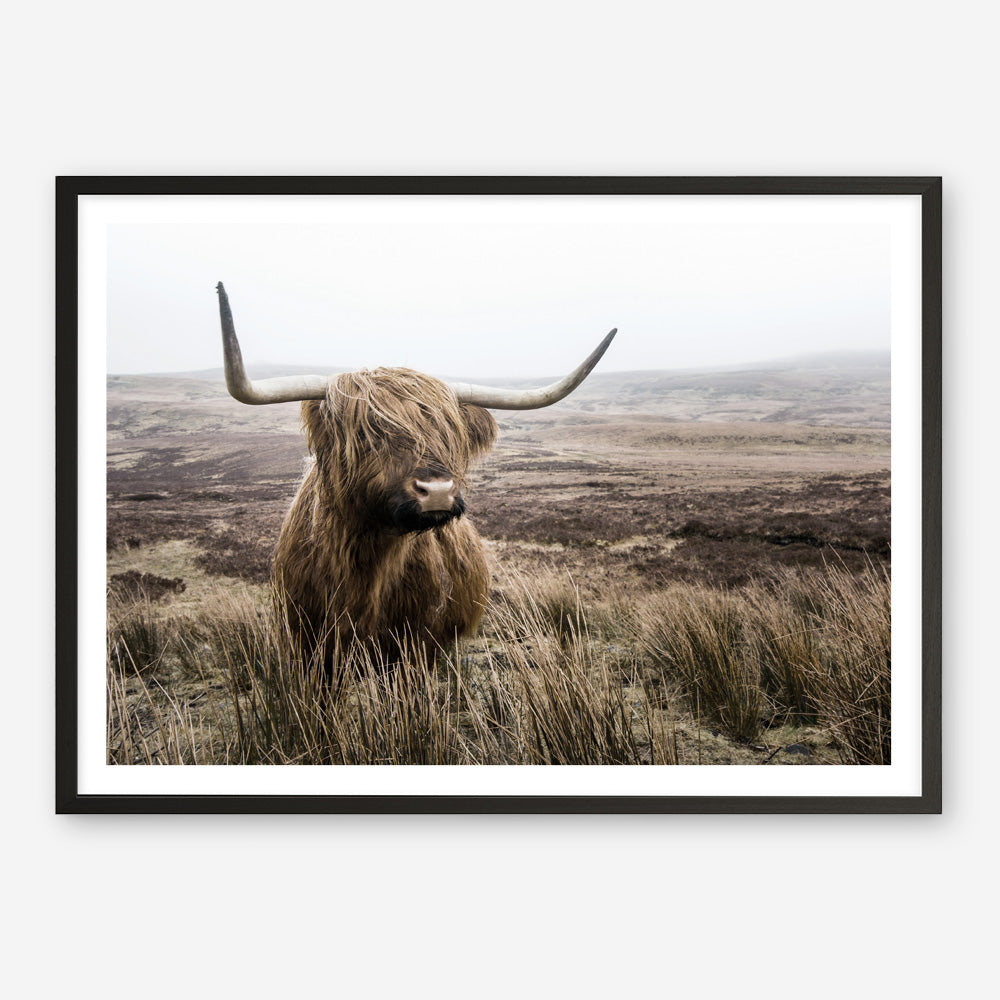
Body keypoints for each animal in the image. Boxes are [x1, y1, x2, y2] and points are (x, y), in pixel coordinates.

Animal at [215, 282, 615, 668]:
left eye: (450, 434)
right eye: (367, 433)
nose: (437, 491)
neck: (365, 566)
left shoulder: (417, 645)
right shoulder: (306, 645)